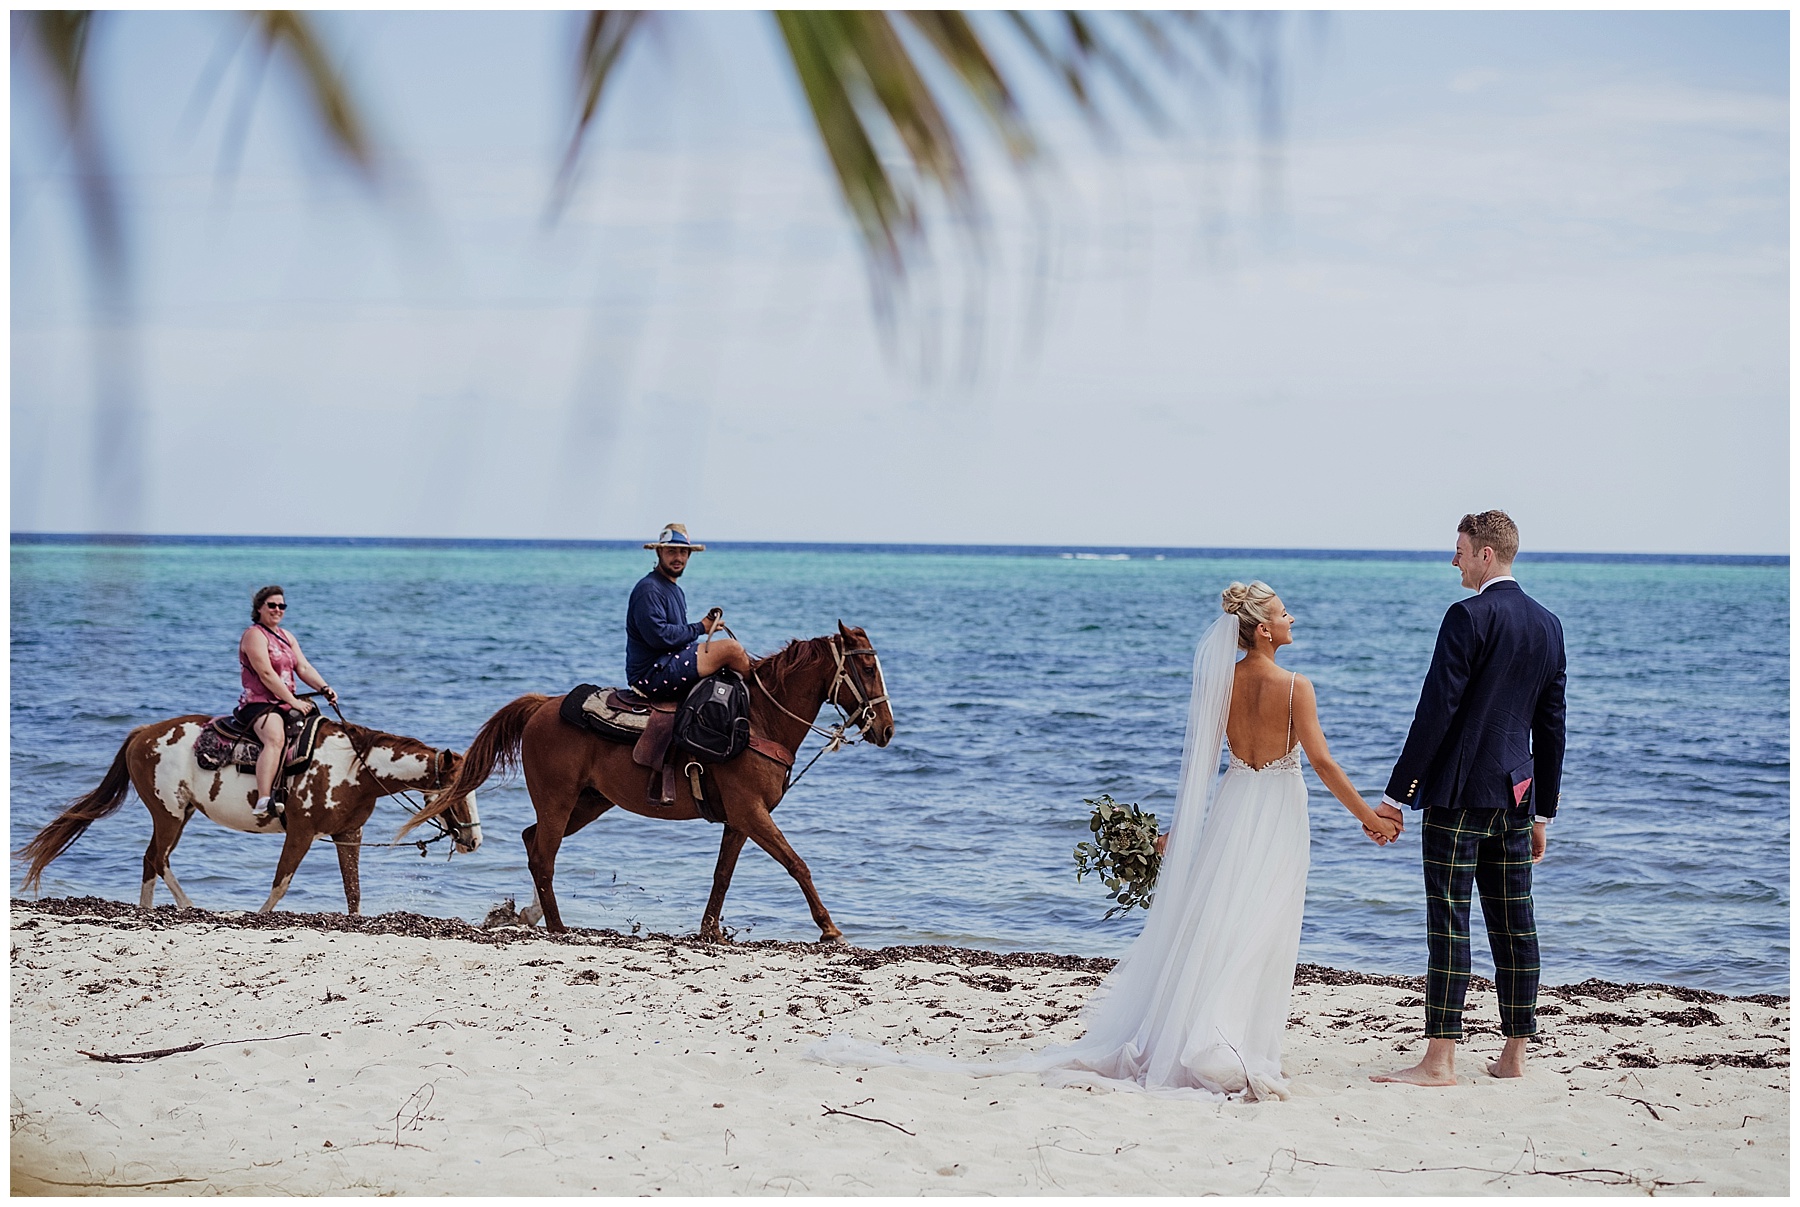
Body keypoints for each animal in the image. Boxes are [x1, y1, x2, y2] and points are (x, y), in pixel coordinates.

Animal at [17, 719, 482, 917]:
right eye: (456, 794)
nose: (474, 841)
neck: (352, 767)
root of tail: (140, 735)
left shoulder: (348, 834)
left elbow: (354, 894)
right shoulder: (301, 833)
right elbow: (281, 884)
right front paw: (257, 915)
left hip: (178, 814)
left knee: (151, 859)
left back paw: (149, 910)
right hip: (169, 813)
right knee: (159, 859)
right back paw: (188, 906)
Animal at [401, 622, 892, 942]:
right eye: (867, 668)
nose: (886, 729)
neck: (757, 721)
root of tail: (543, 705)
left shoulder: (740, 820)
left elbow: (722, 875)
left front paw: (711, 931)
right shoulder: (751, 813)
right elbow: (797, 864)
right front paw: (830, 928)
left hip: (588, 802)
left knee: (531, 840)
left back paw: (535, 915)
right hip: (559, 800)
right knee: (542, 854)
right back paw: (558, 927)